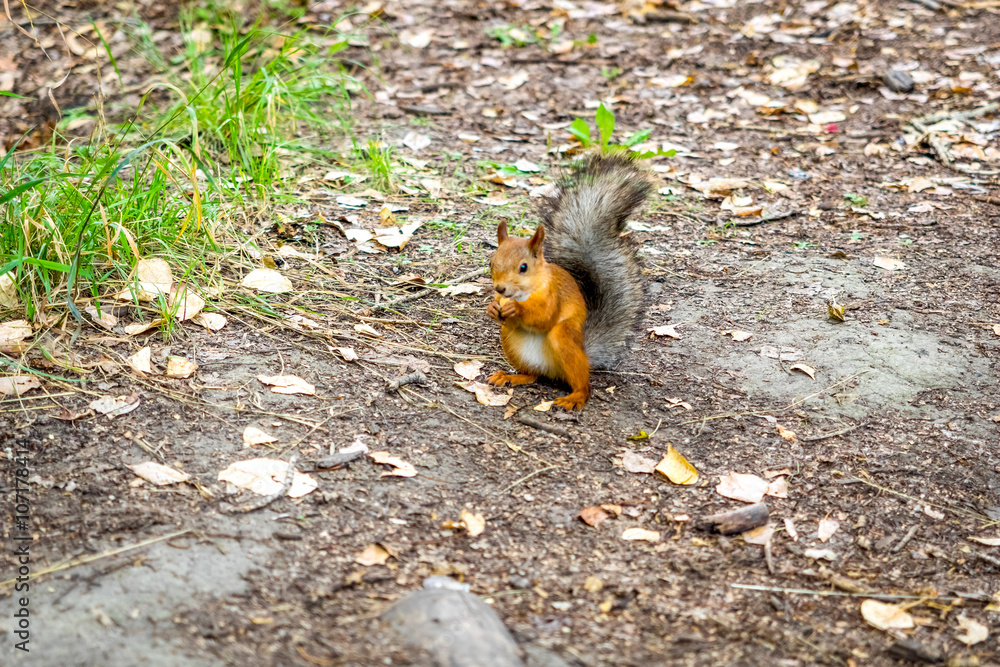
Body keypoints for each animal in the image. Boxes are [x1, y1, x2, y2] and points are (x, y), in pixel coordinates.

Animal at [486, 153, 656, 410]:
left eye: (523, 267)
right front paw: (492, 307)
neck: (525, 293)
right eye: (491, 263)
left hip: (565, 340)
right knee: (533, 375)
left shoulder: (554, 295)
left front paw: (516, 308)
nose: (500, 288)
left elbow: (544, 317)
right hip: (511, 341)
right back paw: (511, 376)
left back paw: (576, 396)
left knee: (582, 383)